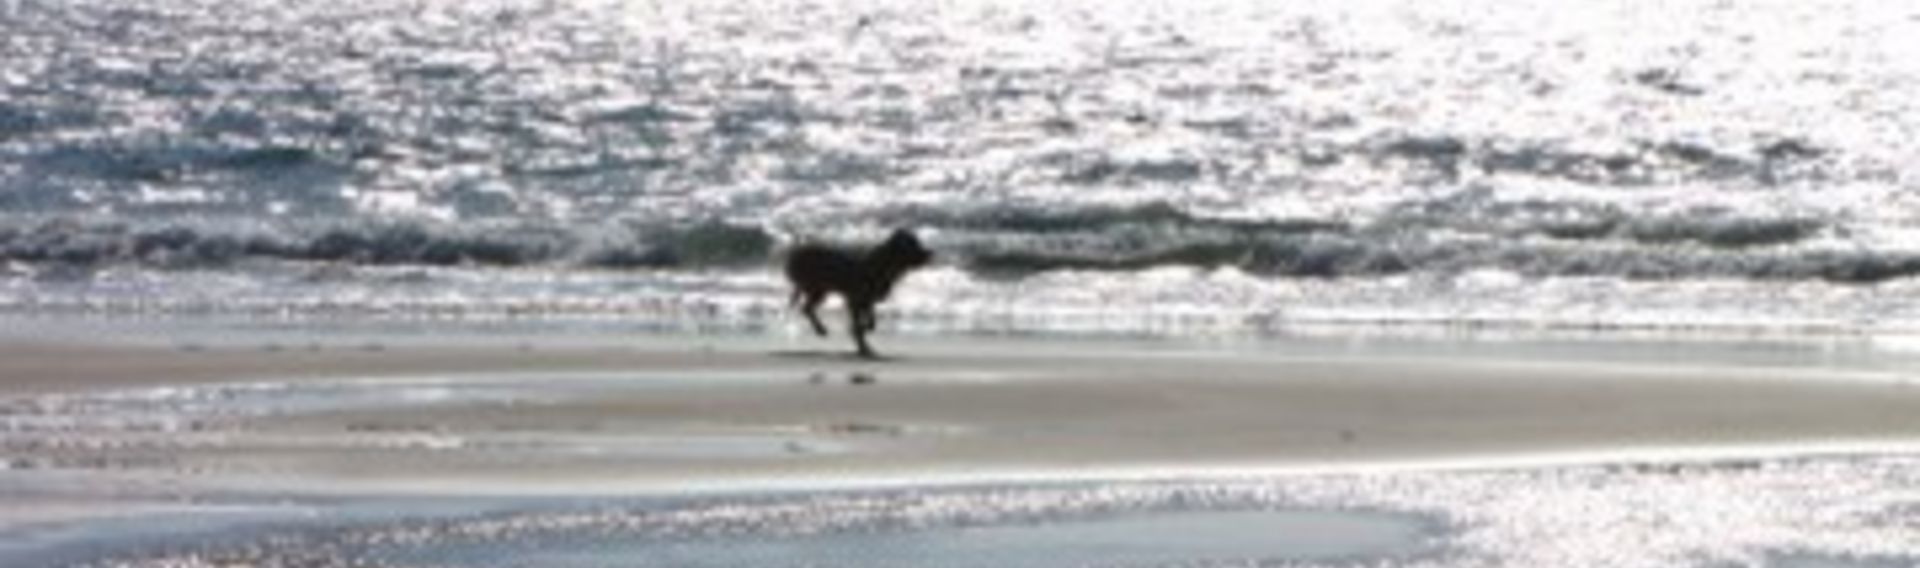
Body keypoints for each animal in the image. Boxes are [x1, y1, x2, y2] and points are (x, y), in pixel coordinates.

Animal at [779, 229, 929, 355]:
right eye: (912, 246)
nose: (930, 253)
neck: (883, 266)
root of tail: (797, 252)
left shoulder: (866, 302)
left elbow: (871, 323)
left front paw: (863, 338)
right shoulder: (854, 301)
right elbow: (860, 326)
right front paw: (862, 344)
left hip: (818, 289)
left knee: (807, 308)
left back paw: (821, 329)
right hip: (816, 287)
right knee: (807, 308)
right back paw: (821, 330)